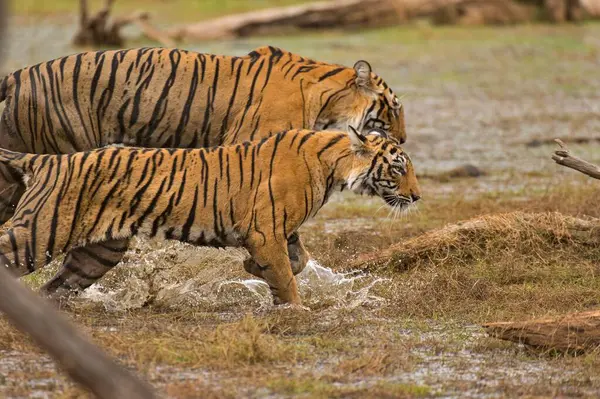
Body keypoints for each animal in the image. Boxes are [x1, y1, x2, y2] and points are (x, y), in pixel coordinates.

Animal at [0, 128, 420, 306]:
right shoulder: (267, 230)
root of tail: (46, 160)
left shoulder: (282, 230)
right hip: (39, 233)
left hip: (98, 253)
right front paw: (294, 312)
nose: (416, 196)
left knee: (54, 288)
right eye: (399, 168)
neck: (333, 165)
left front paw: (255, 270)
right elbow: (288, 277)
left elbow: (297, 261)